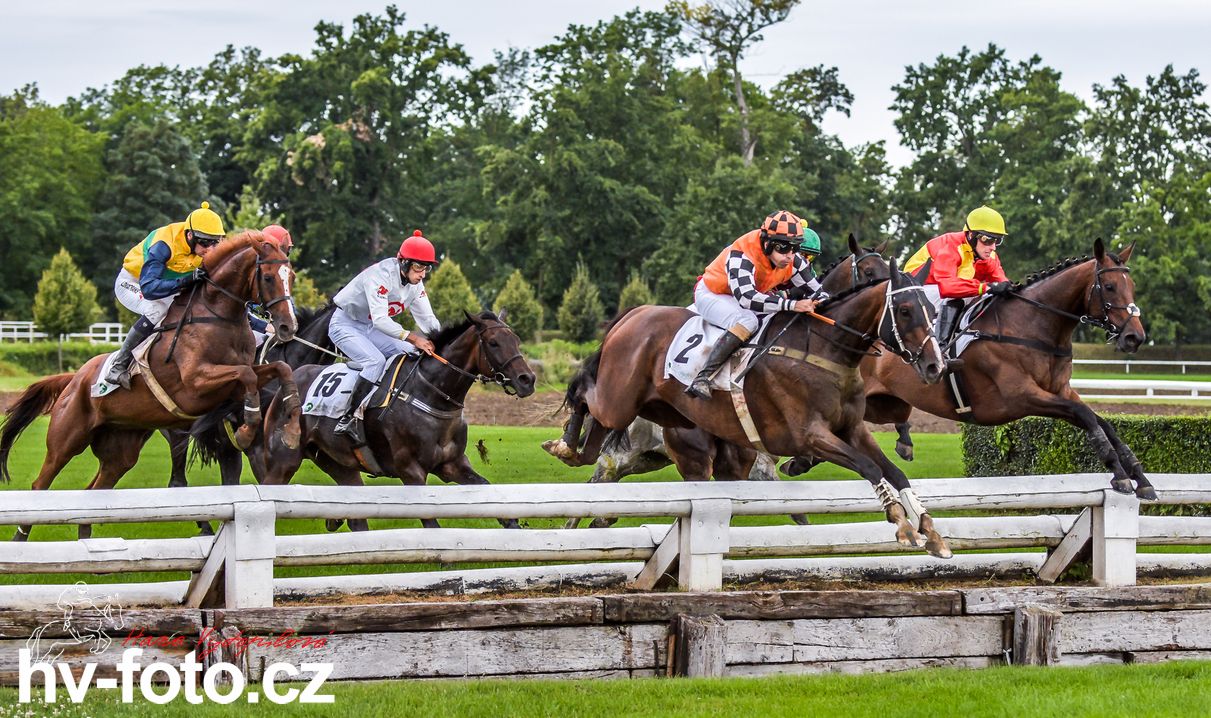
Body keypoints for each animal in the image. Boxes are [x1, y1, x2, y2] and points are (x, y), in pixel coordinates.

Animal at [0, 232, 301, 540]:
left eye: (291, 277)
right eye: (268, 277)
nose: (288, 327)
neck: (217, 316)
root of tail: (74, 379)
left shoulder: (234, 380)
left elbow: (279, 368)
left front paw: (290, 424)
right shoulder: (196, 384)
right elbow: (246, 375)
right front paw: (247, 429)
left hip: (122, 449)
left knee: (94, 490)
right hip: (67, 438)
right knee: (40, 484)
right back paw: (22, 539)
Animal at [542, 261, 954, 554]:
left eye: (932, 311)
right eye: (904, 309)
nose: (936, 365)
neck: (824, 348)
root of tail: (635, 313)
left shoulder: (851, 430)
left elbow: (894, 473)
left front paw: (930, 530)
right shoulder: (808, 436)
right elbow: (869, 468)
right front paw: (901, 523)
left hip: (664, 430)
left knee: (601, 462)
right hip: (624, 405)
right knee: (586, 402)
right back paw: (564, 446)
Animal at [857, 238, 1148, 496]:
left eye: (1132, 285)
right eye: (1109, 286)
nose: (1135, 337)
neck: (1032, 326)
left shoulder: (1061, 391)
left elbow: (1102, 422)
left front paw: (1140, 476)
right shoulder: (1022, 397)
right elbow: (1086, 415)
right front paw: (1119, 472)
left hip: (881, 404)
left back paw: (903, 442)